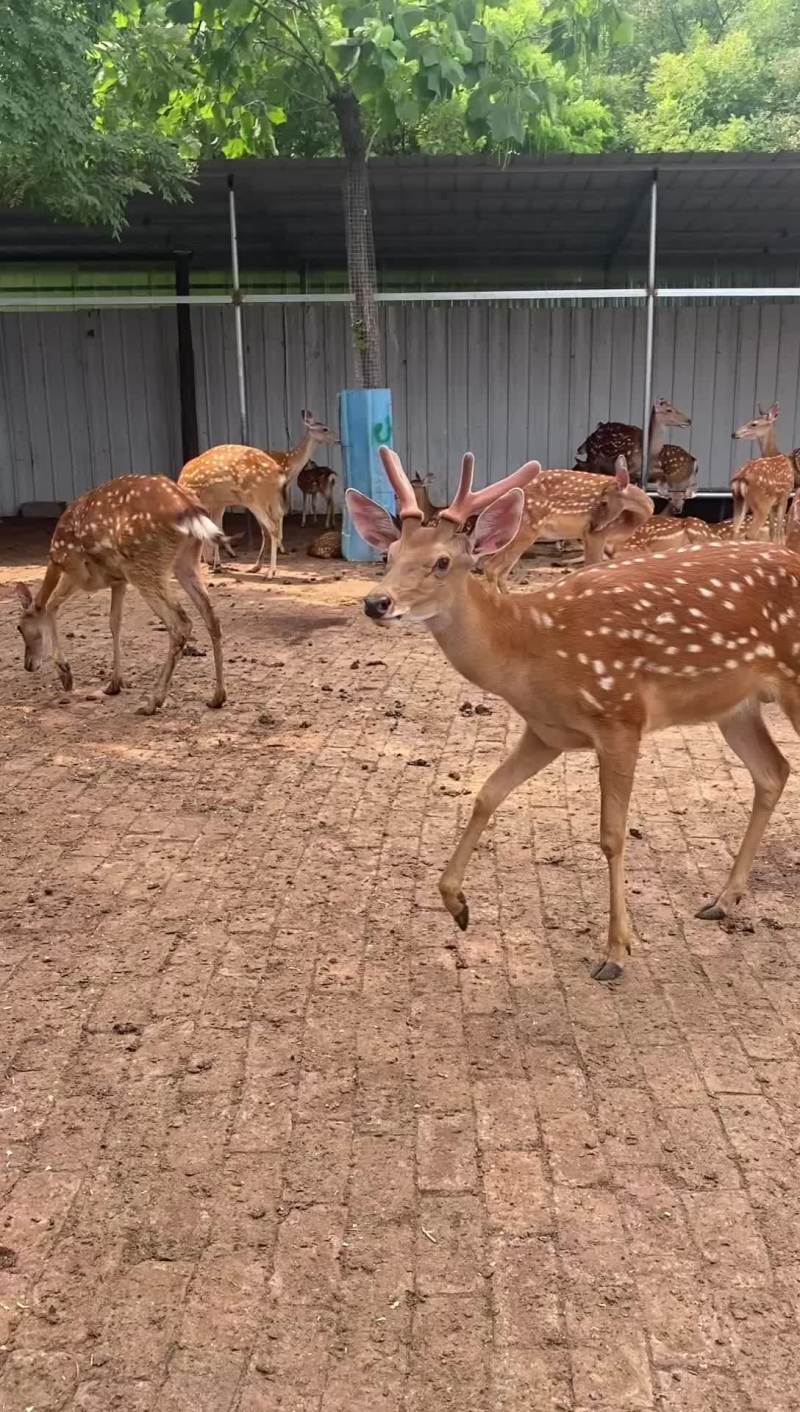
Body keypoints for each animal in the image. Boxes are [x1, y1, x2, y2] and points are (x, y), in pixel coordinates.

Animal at [8, 476, 227, 715]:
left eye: (19, 627)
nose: (28, 665)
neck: (55, 561)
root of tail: (190, 509)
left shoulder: (77, 572)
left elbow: (50, 605)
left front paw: (66, 674)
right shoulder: (118, 581)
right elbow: (115, 623)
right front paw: (114, 684)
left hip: (143, 567)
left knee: (181, 624)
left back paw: (152, 702)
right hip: (185, 562)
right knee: (211, 617)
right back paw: (217, 697)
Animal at [178, 410, 338, 577]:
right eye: (325, 429)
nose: (338, 439)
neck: (289, 465)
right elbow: (275, 521)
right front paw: (278, 550)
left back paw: (217, 561)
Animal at [482, 456, 654, 591]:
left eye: (604, 502)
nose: (593, 524)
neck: (633, 521)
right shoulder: (595, 535)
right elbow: (591, 567)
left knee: (500, 571)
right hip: (526, 529)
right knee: (491, 566)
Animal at [731, 404, 795, 543]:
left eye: (753, 424)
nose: (734, 434)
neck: (774, 453)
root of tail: (741, 478)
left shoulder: (774, 502)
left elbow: (772, 530)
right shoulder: (785, 495)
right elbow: (779, 531)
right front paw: (779, 544)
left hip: (738, 499)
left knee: (735, 530)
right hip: (761, 501)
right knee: (750, 534)